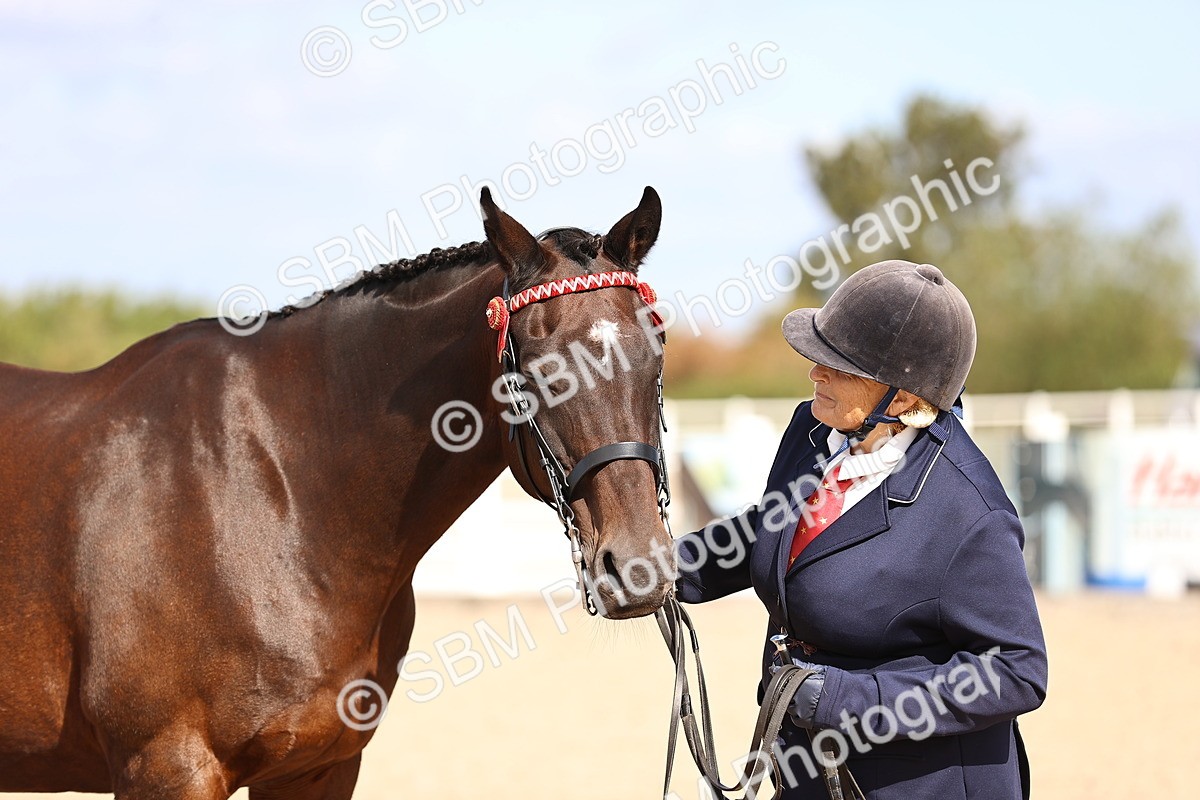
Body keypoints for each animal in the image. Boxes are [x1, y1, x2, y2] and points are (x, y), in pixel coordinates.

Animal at [0, 187, 675, 798]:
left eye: (656, 353)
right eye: (535, 368)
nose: (639, 566)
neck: (276, 496)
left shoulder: (318, 767)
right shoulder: (166, 769)